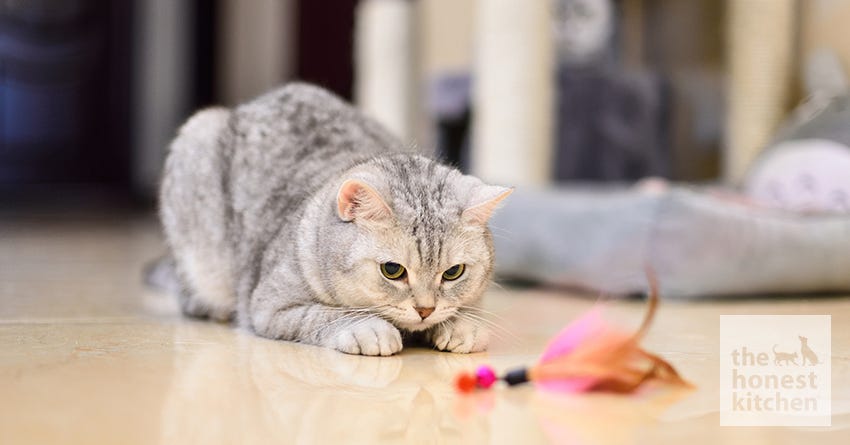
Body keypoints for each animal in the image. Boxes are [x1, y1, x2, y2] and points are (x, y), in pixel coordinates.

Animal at [159, 82, 510, 354]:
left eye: (453, 272)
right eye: (392, 270)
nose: (426, 309)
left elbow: (467, 311)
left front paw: (461, 326)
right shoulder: (270, 306)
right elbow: (327, 315)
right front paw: (369, 329)